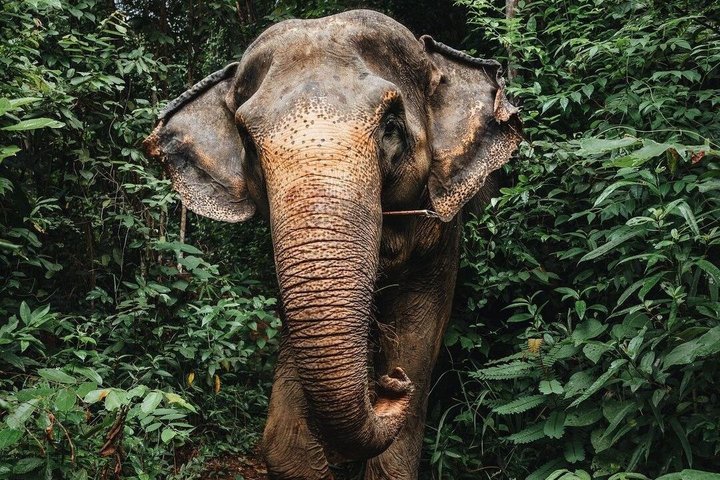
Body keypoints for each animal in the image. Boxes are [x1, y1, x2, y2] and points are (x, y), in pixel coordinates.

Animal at [144, 9, 521, 479]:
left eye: (391, 127)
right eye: (248, 143)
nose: (391, 384)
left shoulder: (442, 228)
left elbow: (419, 325)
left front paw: (403, 378)